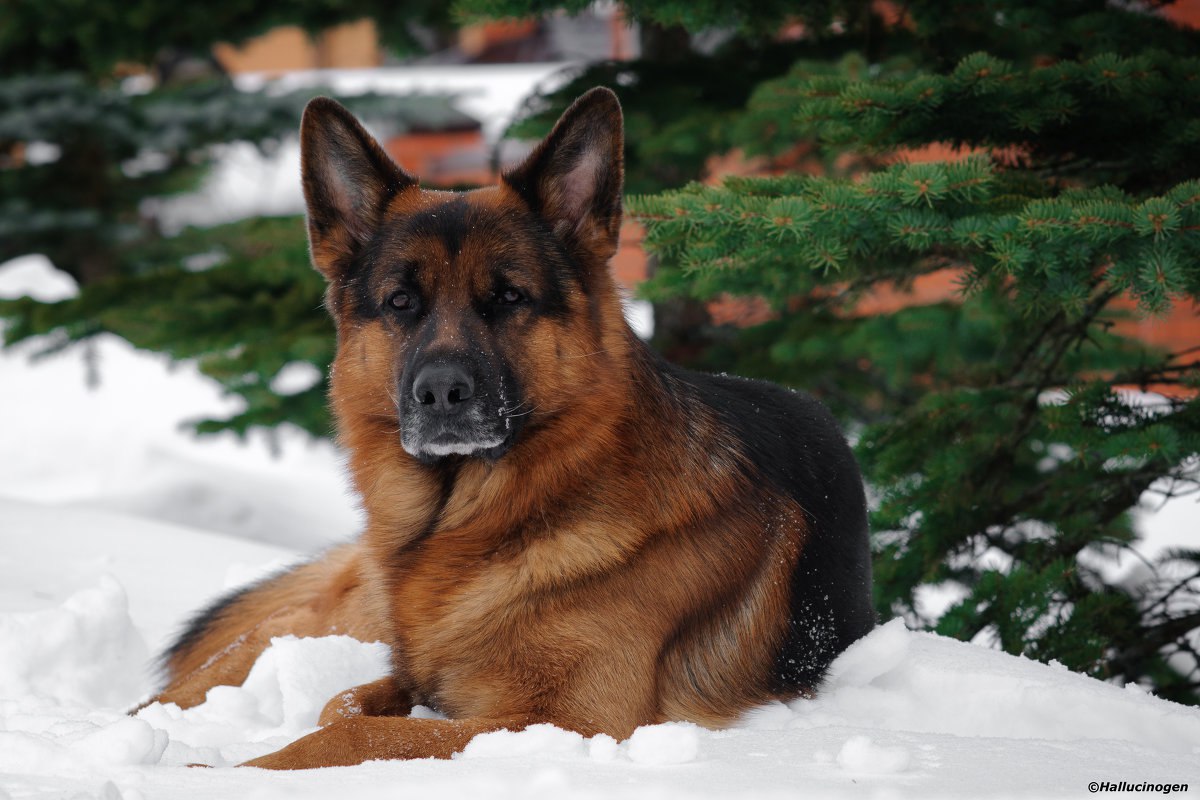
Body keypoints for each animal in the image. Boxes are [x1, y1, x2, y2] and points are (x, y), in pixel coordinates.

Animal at [152, 87, 883, 767]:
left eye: (508, 298)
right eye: (401, 302)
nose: (440, 393)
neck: (484, 522)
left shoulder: (564, 722)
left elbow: (353, 727)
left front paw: (219, 770)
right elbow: (344, 703)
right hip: (348, 613)